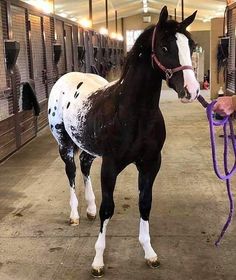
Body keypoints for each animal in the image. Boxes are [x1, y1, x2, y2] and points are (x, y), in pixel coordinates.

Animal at [48, 6, 199, 278]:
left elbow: (145, 203)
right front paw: (98, 260)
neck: (132, 113)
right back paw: (75, 215)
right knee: (72, 173)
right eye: (164, 46)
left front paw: (149, 253)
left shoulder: (150, 164)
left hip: (87, 147)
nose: (191, 91)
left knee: (84, 167)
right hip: (64, 144)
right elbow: (108, 208)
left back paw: (89, 209)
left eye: (191, 45)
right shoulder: (110, 166)